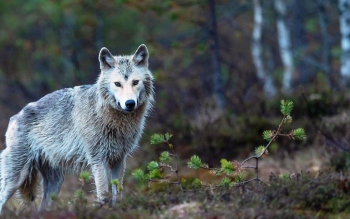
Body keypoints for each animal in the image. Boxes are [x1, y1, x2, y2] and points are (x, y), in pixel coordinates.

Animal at [0, 45, 154, 212]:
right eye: (117, 84)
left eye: (135, 82)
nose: (130, 103)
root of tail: (15, 116)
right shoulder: (98, 160)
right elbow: (103, 194)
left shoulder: (119, 160)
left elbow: (117, 193)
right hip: (15, 179)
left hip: (55, 182)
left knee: (42, 208)